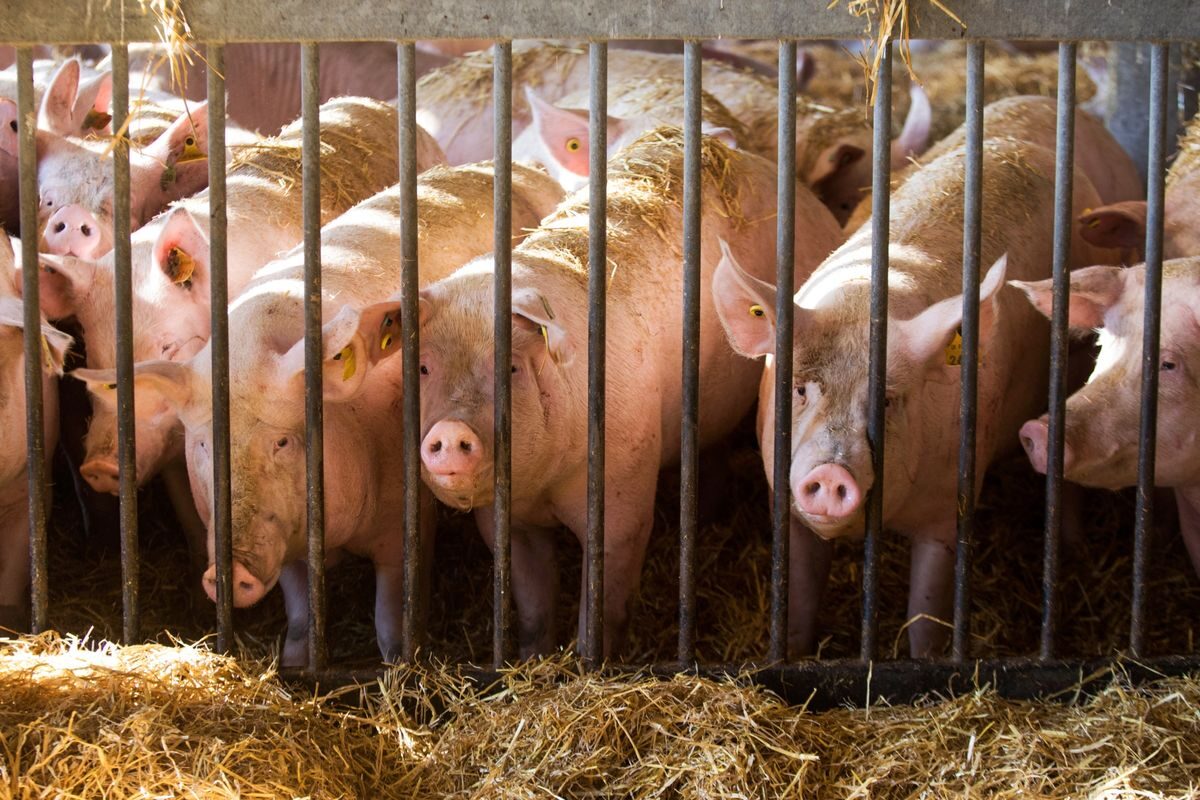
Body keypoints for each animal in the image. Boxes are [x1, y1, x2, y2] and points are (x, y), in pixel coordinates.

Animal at [74, 162, 564, 666]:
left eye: (282, 441)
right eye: (204, 444)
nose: (229, 571)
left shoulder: (404, 520)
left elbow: (391, 617)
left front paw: (398, 665)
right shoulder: (288, 540)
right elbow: (299, 610)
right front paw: (295, 663)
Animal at [392, 128, 843, 659]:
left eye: (511, 367)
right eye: (423, 367)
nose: (449, 429)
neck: (546, 484)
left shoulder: (625, 491)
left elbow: (607, 596)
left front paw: (590, 659)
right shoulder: (508, 521)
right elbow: (532, 599)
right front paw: (532, 657)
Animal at [713, 137, 1117, 658]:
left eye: (887, 400)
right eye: (800, 390)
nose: (830, 472)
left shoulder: (949, 505)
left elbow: (925, 614)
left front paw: (925, 658)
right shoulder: (783, 501)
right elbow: (798, 596)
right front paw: (793, 653)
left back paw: (1073, 547)